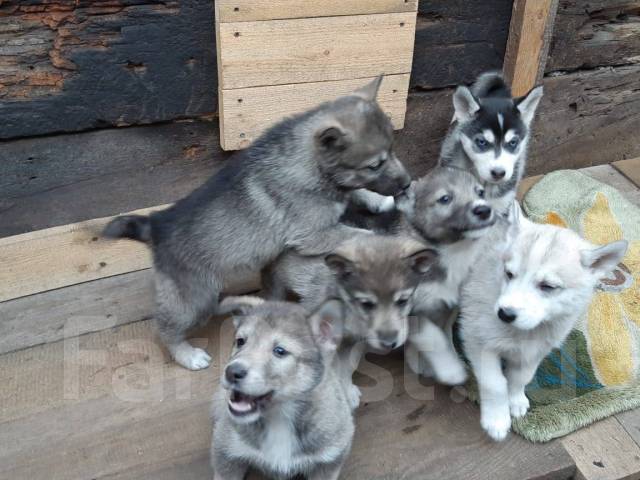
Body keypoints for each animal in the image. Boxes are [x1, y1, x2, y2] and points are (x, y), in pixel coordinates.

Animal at [100, 79, 410, 372]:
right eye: (374, 165)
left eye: (393, 150)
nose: (406, 183)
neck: (312, 163)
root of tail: (156, 223)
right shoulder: (313, 235)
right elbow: (358, 233)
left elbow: (354, 193)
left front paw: (379, 200)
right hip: (195, 297)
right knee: (167, 328)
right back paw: (187, 355)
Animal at [211, 296, 352, 480]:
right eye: (240, 341)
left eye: (280, 351)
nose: (231, 372)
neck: (279, 418)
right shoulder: (226, 453)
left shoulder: (330, 460)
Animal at [458, 204, 628, 440]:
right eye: (509, 274)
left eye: (548, 286)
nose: (504, 314)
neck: (524, 333)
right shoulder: (478, 339)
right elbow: (495, 383)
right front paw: (497, 420)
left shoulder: (535, 350)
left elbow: (521, 377)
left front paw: (515, 400)